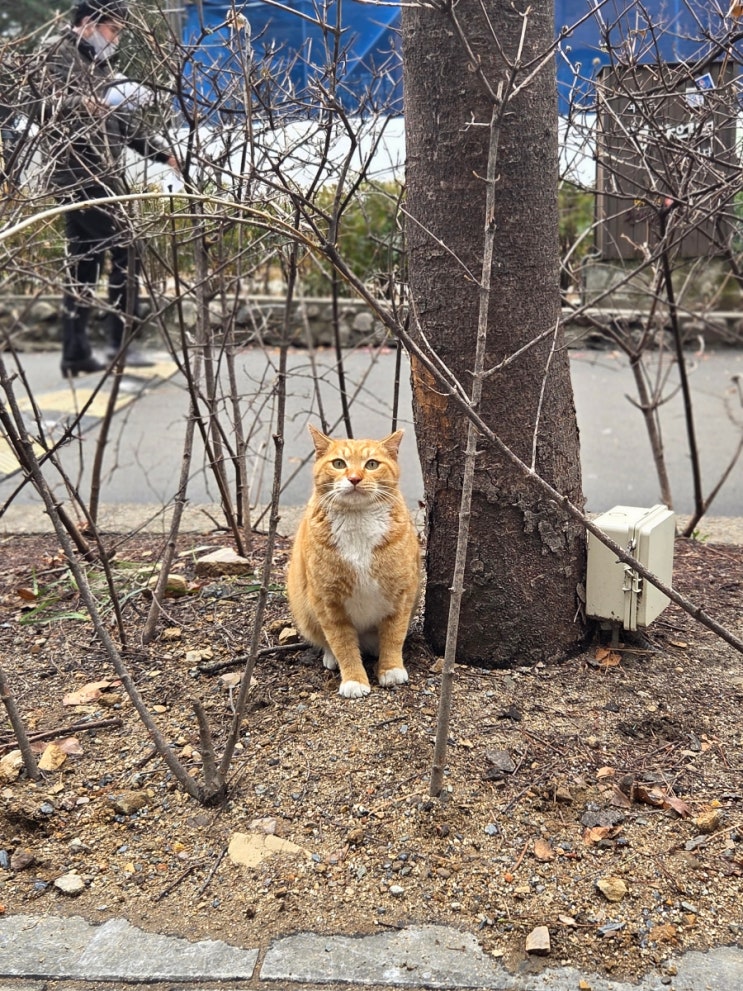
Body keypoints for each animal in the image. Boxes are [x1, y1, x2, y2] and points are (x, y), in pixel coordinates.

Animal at [287, 424, 421, 698]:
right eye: (339, 463)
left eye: (372, 464)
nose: (355, 478)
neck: (358, 521)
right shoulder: (328, 601)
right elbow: (343, 643)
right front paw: (354, 680)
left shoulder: (402, 593)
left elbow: (394, 635)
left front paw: (391, 669)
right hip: (305, 610)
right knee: (326, 641)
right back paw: (331, 657)